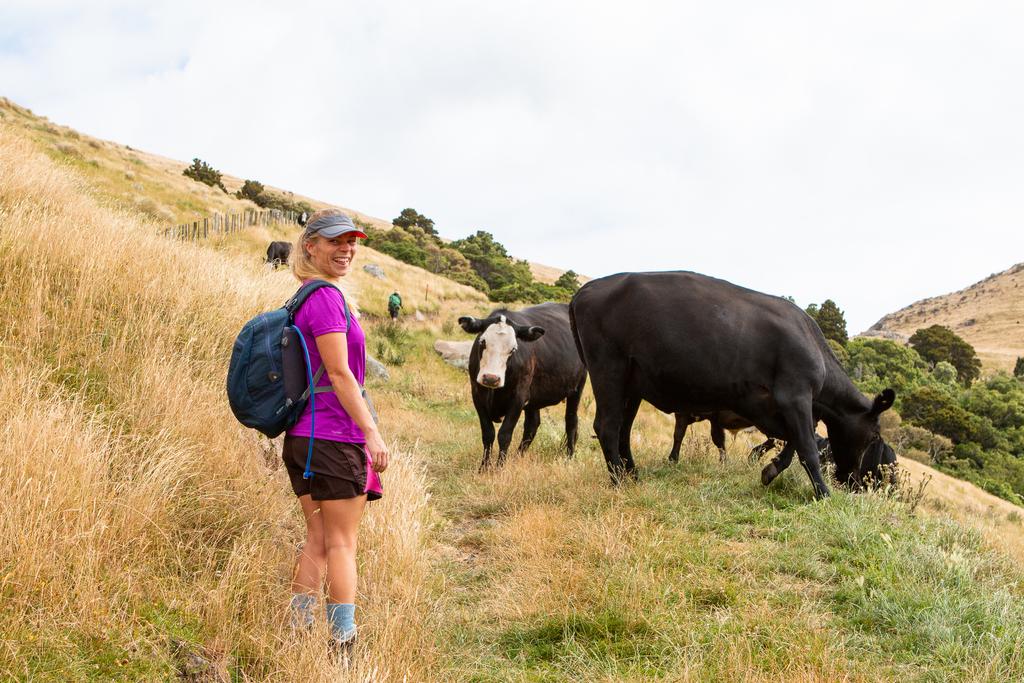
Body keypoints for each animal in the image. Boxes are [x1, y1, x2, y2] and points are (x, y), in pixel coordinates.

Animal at [458, 303, 587, 472]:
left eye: (513, 349)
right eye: (483, 342)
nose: (491, 378)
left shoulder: (518, 398)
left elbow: (504, 434)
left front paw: (499, 468)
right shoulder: (477, 395)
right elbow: (488, 433)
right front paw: (484, 468)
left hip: (577, 387)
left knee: (571, 422)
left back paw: (569, 458)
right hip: (534, 397)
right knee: (532, 425)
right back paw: (517, 457)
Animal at [570, 271, 896, 498]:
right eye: (873, 436)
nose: (854, 483)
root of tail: (586, 290)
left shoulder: (770, 406)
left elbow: (795, 442)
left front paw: (769, 471)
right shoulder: (795, 395)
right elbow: (807, 447)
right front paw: (824, 494)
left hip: (632, 382)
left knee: (623, 429)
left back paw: (632, 474)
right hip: (609, 368)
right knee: (607, 426)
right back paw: (618, 480)